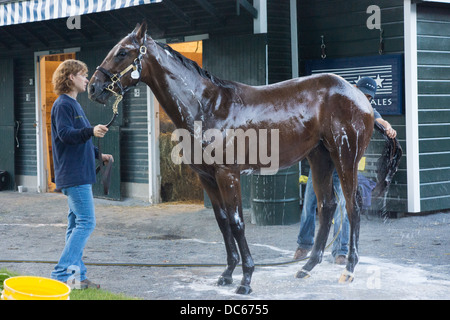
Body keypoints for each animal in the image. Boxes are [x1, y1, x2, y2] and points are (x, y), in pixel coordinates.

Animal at [88, 22, 400, 296]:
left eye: (122, 52)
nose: (93, 87)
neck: (207, 106)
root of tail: (360, 97)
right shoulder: (207, 178)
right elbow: (223, 222)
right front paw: (227, 274)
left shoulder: (228, 175)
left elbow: (237, 223)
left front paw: (246, 280)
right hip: (320, 158)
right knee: (327, 206)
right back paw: (306, 268)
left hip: (345, 157)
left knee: (352, 206)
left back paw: (348, 269)